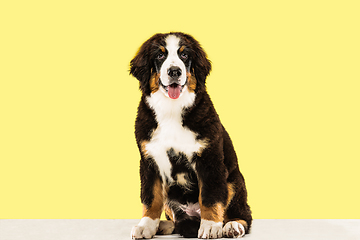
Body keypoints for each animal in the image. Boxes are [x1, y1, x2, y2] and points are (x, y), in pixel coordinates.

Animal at [129, 32, 250, 239]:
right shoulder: (149, 161)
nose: (174, 71)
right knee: (175, 217)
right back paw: (164, 226)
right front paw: (146, 225)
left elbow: (210, 196)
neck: (171, 110)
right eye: (160, 55)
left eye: (184, 55)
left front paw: (210, 226)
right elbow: (151, 198)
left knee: (242, 214)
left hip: (234, 181)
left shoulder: (209, 158)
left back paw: (232, 225)